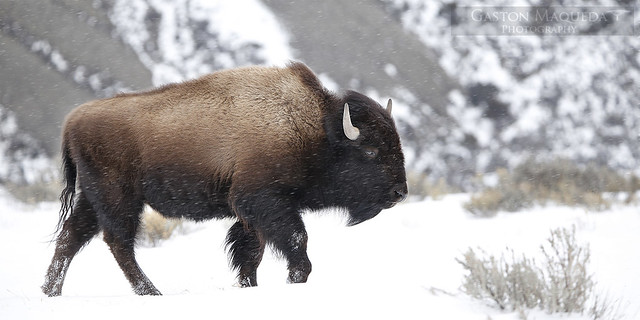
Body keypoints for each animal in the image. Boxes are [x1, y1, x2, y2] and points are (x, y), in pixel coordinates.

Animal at [42, 61, 408, 296]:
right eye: (371, 151)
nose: (400, 192)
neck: (317, 131)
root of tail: (73, 120)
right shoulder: (264, 200)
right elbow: (294, 239)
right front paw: (295, 277)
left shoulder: (250, 213)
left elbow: (251, 252)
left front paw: (249, 286)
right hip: (118, 197)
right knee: (118, 242)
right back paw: (150, 292)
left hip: (93, 198)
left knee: (72, 237)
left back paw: (51, 291)